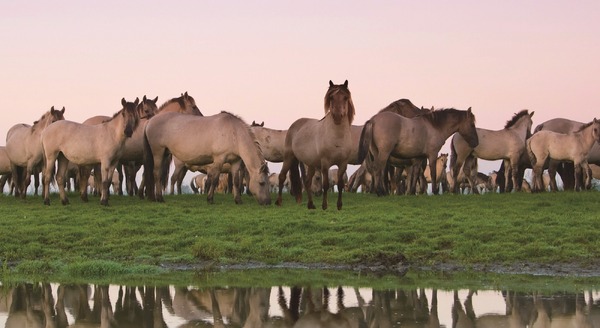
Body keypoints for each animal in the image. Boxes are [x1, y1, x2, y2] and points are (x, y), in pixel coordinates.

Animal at [276, 79, 356, 210]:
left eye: (345, 97)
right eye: (331, 97)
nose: (337, 116)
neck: (337, 138)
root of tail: (295, 124)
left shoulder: (343, 164)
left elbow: (340, 185)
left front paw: (339, 206)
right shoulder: (325, 163)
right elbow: (325, 184)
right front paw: (324, 206)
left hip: (311, 164)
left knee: (307, 182)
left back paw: (311, 204)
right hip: (289, 157)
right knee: (282, 176)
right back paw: (278, 202)